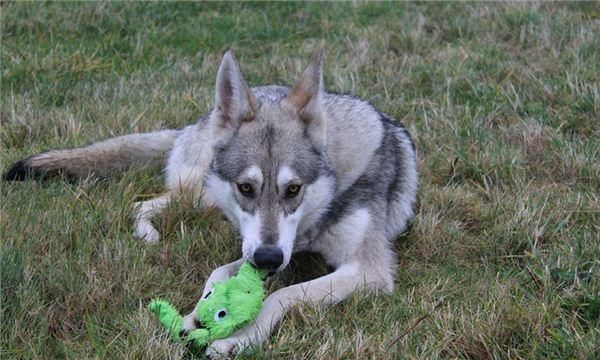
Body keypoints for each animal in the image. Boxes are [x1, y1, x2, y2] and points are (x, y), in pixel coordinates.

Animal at [3, 51, 418, 358]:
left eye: (294, 189)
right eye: (247, 188)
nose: (268, 259)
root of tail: (197, 122)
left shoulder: (367, 271)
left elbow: (281, 293)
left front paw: (236, 335)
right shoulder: (262, 248)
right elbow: (219, 273)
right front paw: (197, 314)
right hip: (202, 195)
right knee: (144, 204)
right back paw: (147, 235)